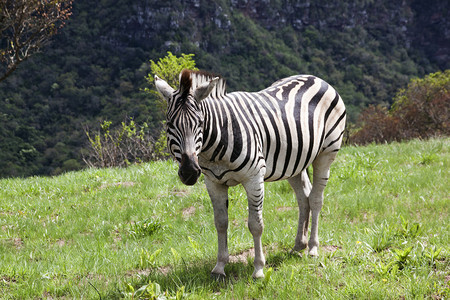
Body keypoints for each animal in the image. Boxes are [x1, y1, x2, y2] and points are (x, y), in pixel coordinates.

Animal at [154, 68, 344, 278]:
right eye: (169, 124)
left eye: (201, 122)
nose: (189, 172)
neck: (214, 149)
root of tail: (315, 77)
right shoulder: (213, 182)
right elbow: (220, 222)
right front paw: (219, 267)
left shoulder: (254, 178)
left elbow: (255, 224)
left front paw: (259, 269)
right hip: (295, 161)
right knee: (304, 197)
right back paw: (298, 246)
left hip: (326, 153)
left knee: (316, 199)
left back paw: (312, 248)